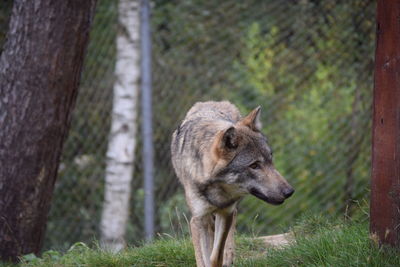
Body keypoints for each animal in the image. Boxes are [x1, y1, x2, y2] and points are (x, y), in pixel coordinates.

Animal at [170, 101, 296, 267]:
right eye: (254, 165)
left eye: (270, 159)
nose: (289, 192)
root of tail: (215, 102)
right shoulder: (199, 218)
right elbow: (204, 255)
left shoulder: (226, 211)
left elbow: (216, 256)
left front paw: (223, 257)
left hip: (230, 210)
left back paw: (229, 256)